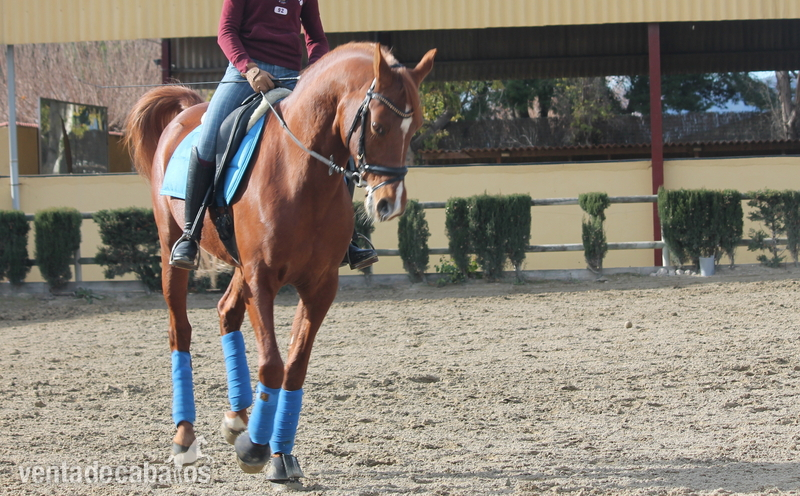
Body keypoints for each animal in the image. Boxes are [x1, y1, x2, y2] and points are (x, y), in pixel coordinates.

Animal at [124, 42, 435, 487]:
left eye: (416, 128)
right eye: (377, 126)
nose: (389, 204)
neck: (301, 175)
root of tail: (188, 110)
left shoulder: (320, 287)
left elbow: (295, 367)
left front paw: (280, 455)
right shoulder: (262, 279)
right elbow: (271, 364)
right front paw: (254, 450)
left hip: (238, 266)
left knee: (226, 312)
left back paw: (237, 417)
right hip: (173, 253)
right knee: (179, 331)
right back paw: (185, 437)